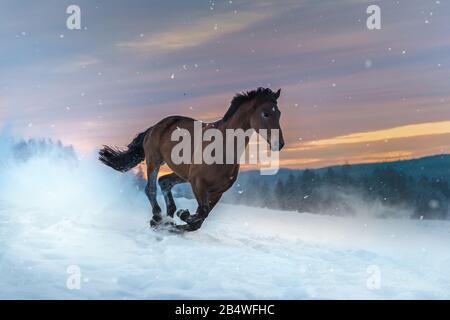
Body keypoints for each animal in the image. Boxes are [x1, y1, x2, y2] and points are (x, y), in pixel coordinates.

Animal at [100, 87, 286, 232]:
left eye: (279, 113)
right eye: (265, 113)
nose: (279, 144)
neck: (223, 146)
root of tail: (154, 127)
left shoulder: (217, 192)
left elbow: (200, 219)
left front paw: (178, 221)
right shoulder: (198, 184)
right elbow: (201, 212)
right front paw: (182, 215)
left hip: (182, 173)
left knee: (164, 182)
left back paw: (167, 218)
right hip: (155, 161)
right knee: (151, 188)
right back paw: (157, 217)